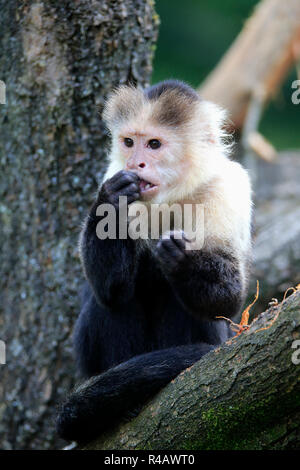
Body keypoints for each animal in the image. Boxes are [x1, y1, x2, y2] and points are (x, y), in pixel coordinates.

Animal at [56, 79, 253, 442]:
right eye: (129, 142)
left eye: (154, 144)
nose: (136, 163)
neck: (170, 197)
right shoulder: (111, 171)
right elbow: (110, 290)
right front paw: (112, 199)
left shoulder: (226, 189)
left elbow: (227, 301)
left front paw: (182, 261)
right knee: (116, 302)